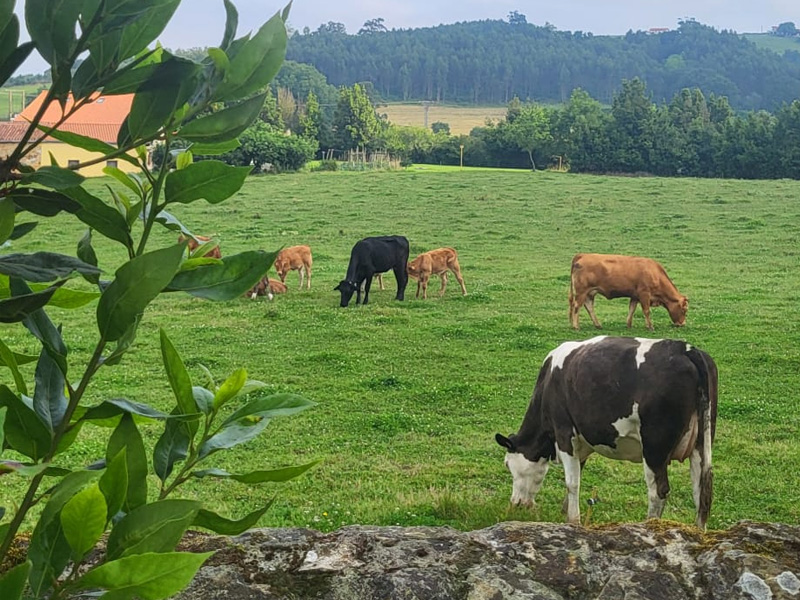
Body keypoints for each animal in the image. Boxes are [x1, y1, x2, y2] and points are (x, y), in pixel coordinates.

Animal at [495, 336, 717, 529]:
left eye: (507, 464)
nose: (515, 503)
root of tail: (685, 349)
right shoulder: (581, 441)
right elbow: (577, 472)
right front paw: (565, 512)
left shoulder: (564, 431)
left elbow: (572, 482)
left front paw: (572, 521)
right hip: (701, 443)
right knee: (701, 491)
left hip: (655, 447)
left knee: (658, 492)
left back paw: (649, 525)